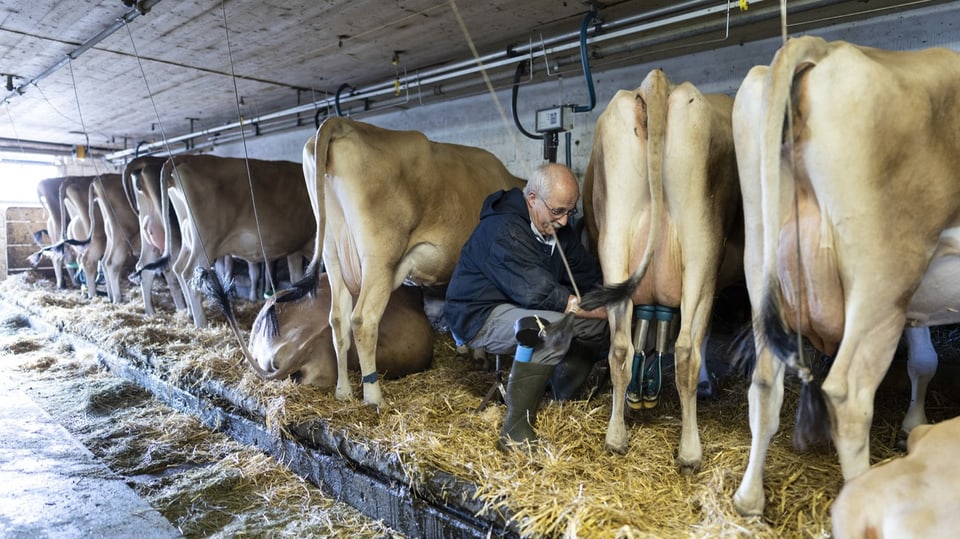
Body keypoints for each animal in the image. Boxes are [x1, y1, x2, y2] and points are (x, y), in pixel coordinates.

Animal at [151, 154, 316, 326]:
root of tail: (185, 157)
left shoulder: (296, 247)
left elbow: (297, 276)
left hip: (189, 239)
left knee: (178, 267)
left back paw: (189, 313)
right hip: (206, 244)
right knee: (188, 273)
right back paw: (201, 323)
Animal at [278, 117, 524, 404]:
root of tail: (341, 122)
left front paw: (467, 350)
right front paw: (478, 354)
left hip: (332, 252)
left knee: (338, 320)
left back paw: (343, 392)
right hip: (379, 258)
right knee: (362, 320)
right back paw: (374, 397)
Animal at [576, 69, 744, 470]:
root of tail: (657, 81)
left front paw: (643, 393)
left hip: (615, 241)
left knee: (620, 346)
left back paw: (616, 437)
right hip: (702, 248)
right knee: (686, 349)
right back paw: (690, 450)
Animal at [728, 35, 960, 516]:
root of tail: (827, 47)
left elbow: (923, 360)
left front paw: (913, 425)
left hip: (761, 258)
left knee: (764, 383)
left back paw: (748, 500)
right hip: (884, 275)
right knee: (850, 397)